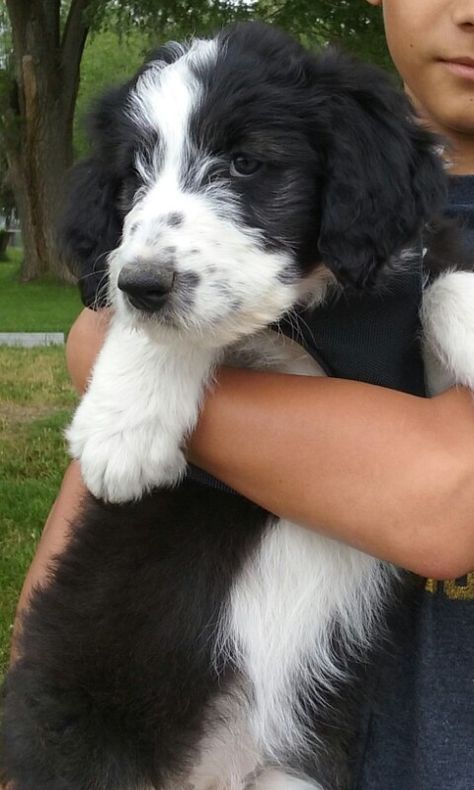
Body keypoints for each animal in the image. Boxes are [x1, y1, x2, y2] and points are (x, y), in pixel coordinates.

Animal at [3, 21, 474, 790]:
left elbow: (440, 278)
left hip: (291, 776)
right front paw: (120, 430)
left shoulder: (402, 379)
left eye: (246, 164)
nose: (143, 284)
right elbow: (187, 331)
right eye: (133, 178)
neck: (314, 315)